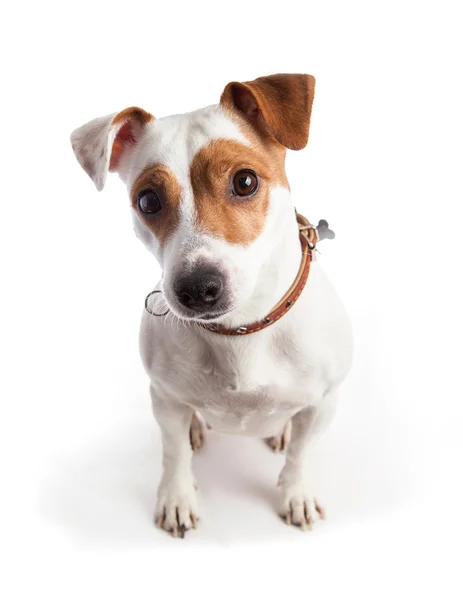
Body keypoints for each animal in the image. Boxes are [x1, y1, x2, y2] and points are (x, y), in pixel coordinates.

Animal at [70, 72, 354, 536]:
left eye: (245, 181)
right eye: (147, 200)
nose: (197, 287)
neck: (240, 331)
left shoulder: (321, 404)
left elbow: (301, 454)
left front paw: (296, 494)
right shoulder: (165, 399)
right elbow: (173, 453)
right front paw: (177, 497)